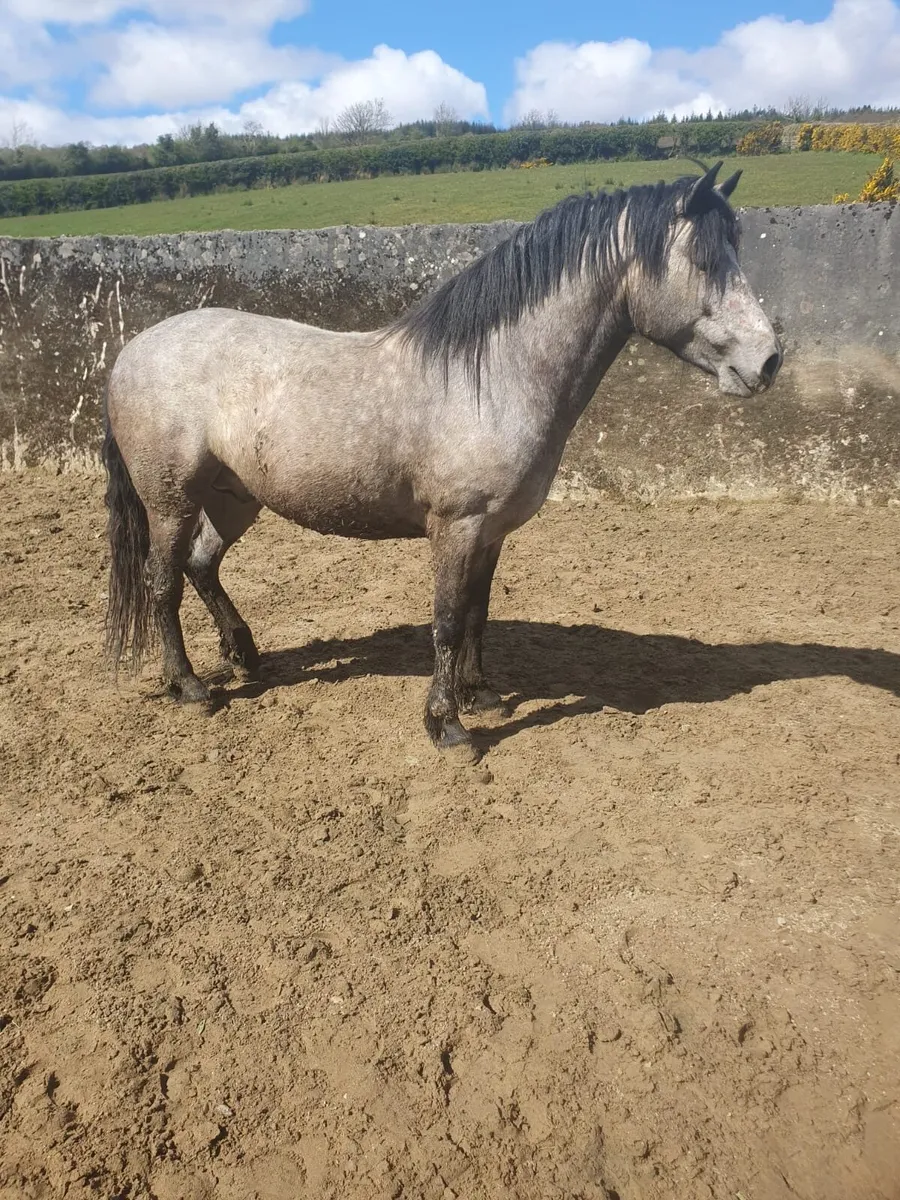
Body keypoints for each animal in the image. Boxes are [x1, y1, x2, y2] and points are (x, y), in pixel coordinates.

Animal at [102, 162, 782, 755]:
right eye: (703, 259)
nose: (770, 361)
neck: (495, 374)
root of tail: (132, 350)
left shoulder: (492, 530)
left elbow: (479, 612)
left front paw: (480, 695)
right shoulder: (456, 526)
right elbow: (449, 619)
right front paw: (446, 725)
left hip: (234, 497)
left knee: (201, 564)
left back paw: (244, 656)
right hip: (171, 499)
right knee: (163, 580)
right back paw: (189, 686)